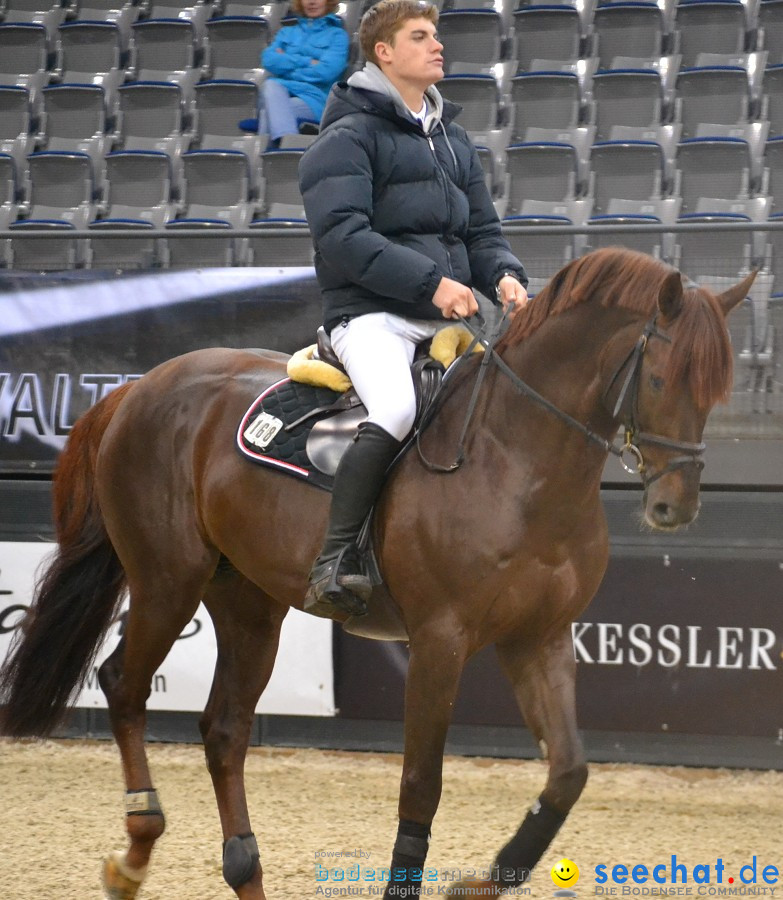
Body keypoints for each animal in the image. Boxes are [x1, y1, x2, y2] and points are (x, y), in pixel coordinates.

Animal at [0, 248, 752, 900]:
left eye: (717, 389)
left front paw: (481, 883)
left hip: (249, 605)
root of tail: (136, 388)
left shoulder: (537, 637)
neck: (517, 459)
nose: (675, 506)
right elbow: (420, 783)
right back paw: (135, 850)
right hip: (165, 582)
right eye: (661, 378)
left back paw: (243, 867)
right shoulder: (440, 642)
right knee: (124, 688)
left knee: (223, 730)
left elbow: (567, 773)